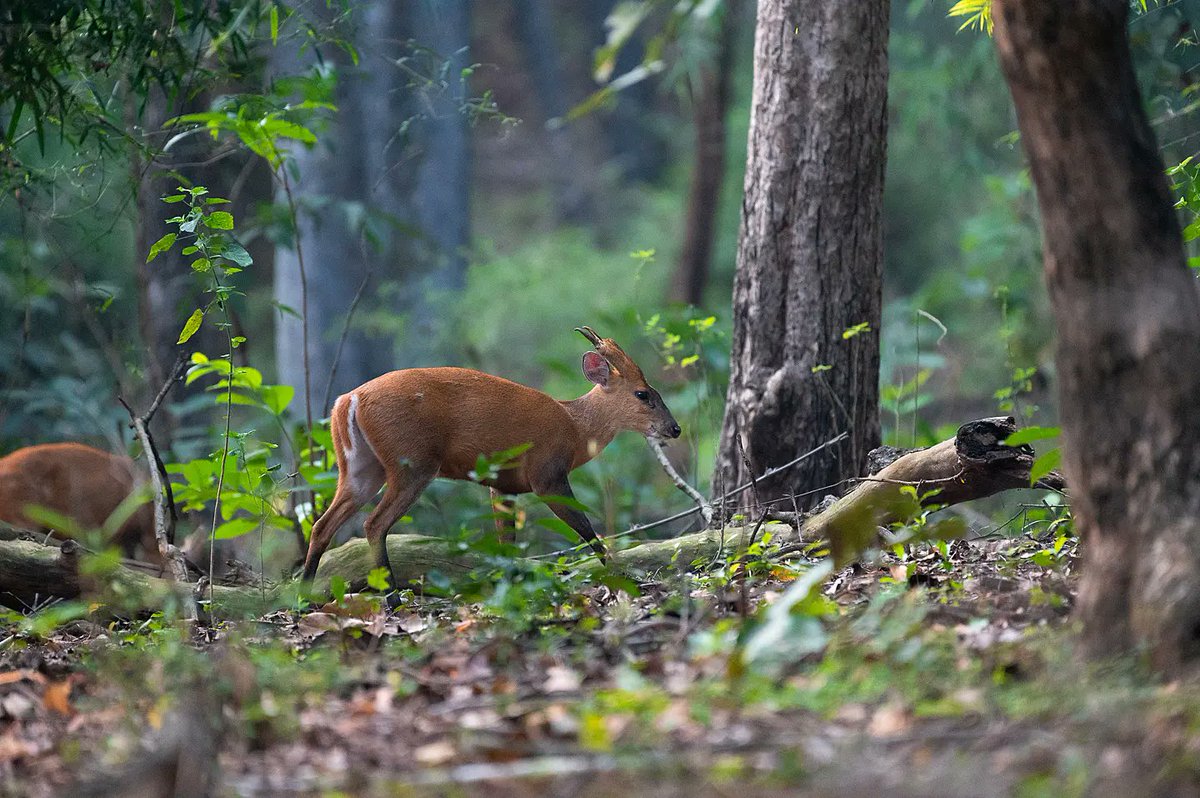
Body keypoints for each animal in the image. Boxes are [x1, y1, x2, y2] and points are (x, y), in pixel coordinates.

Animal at [301, 327, 682, 588]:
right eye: (643, 394)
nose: (674, 429)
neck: (575, 428)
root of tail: (348, 400)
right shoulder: (547, 474)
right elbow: (584, 527)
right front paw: (621, 575)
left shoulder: (503, 485)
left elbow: (506, 544)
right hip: (412, 460)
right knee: (374, 523)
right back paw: (392, 597)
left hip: (360, 466)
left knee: (322, 524)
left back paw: (303, 593)